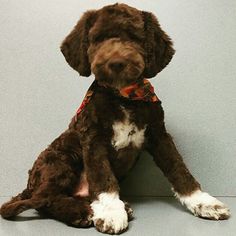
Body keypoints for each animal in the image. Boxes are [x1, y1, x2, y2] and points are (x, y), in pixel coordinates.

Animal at [0, 3, 229, 234]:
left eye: (135, 38)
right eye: (98, 39)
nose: (117, 62)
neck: (123, 97)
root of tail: (29, 186)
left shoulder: (159, 135)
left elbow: (179, 169)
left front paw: (203, 203)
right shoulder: (93, 139)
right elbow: (103, 177)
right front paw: (110, 211)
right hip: (60, 158)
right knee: (44, 200)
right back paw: (82, 212)